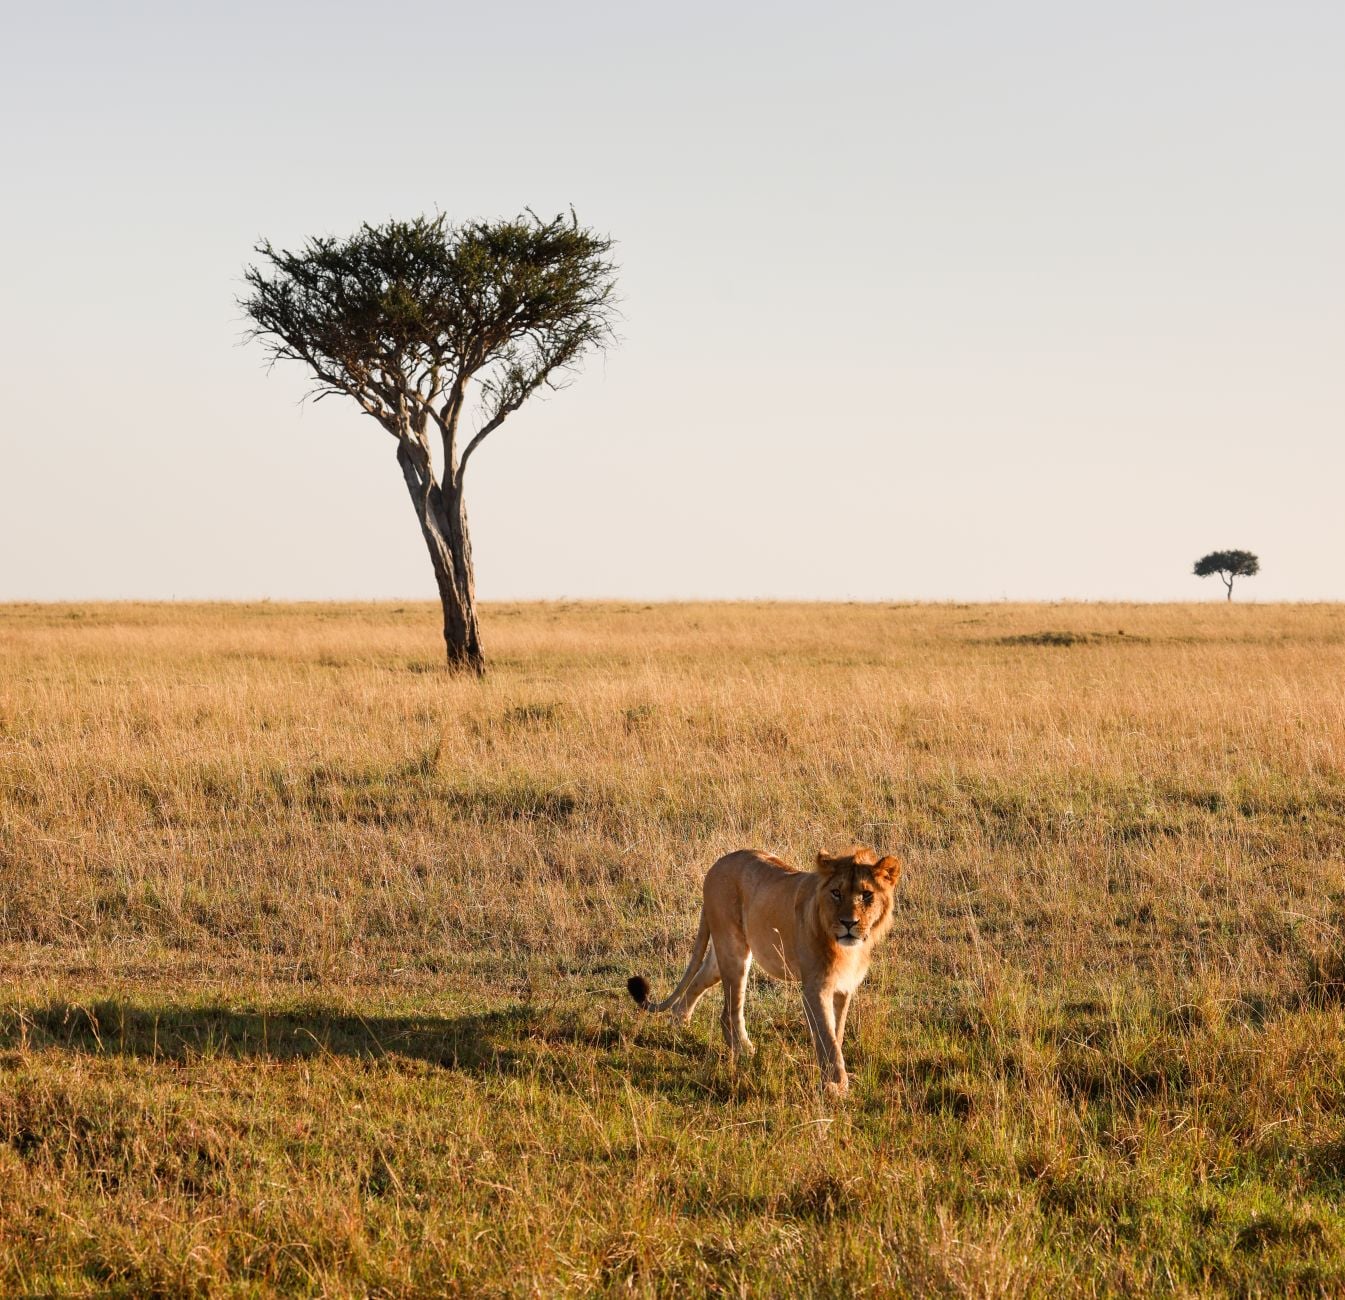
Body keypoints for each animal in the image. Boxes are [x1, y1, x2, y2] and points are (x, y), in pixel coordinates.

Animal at [627, 846, 902, 1094]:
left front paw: (835, 1078)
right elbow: (827, 1038)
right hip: (735, 952)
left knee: (695, 987)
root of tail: (717, 864)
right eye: (836, 892)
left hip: (719, 958)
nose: (848, 923)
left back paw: (679, 1028)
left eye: (866, 895)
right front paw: (835, 1085)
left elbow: (838, 1033)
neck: (847, 949)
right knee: (729, 1012)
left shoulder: (843, 988)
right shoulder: (815, 989)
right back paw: (744, 1051)